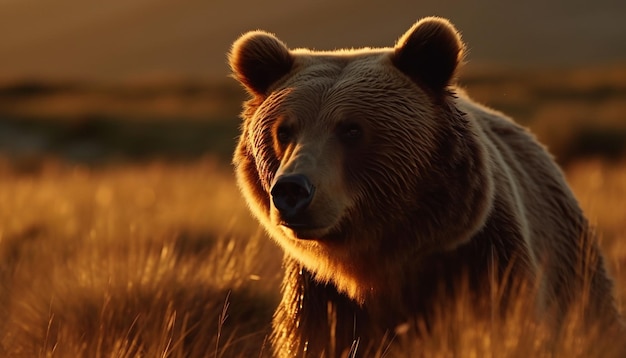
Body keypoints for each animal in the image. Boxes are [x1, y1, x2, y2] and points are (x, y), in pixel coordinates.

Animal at [228, 16, 616, 356]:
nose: (292, 190)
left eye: (351, 129)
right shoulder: (320, 297)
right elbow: (314, 340)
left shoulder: (483, 263)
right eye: (284, 131)